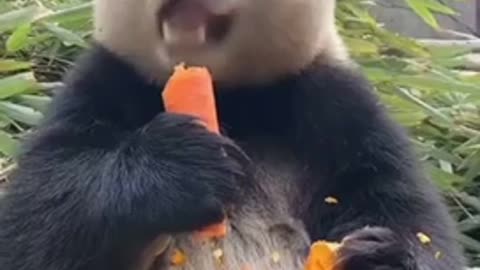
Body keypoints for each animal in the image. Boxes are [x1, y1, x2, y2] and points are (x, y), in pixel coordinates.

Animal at [0, 0, 466, 268]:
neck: (229, 96)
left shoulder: (337, 107)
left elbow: (412, 216)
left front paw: (378, 254)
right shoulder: (102, 84)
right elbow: (37, 222)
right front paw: (187, 165)